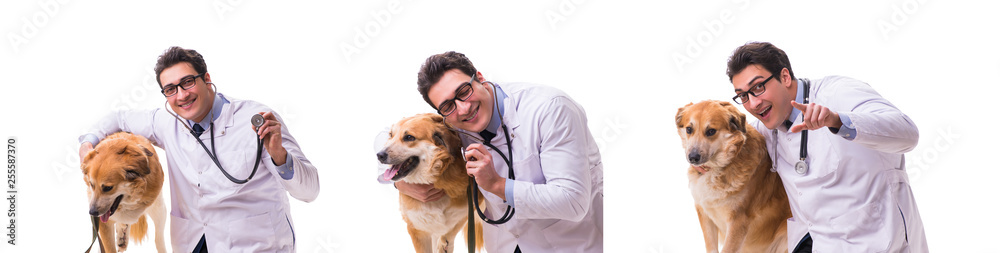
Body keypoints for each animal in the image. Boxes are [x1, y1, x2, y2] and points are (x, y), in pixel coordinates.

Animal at [376, 113, 482, 252]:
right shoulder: (417, 228)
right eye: (390, 135)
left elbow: (452, 229)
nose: (379, 155)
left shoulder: (469, 208)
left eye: (409, 137)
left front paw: (445, 242)